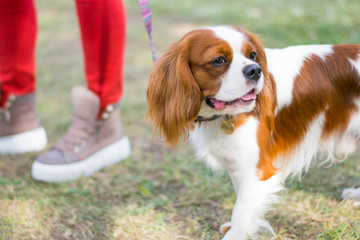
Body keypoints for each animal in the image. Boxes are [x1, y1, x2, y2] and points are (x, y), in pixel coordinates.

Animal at [146, 25, 360, 239]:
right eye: (219, 60)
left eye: (252, 55)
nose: (255, 70)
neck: (221, 116)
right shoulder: (238, 164)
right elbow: (243, 201)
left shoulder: (257, 171)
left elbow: (242, 210)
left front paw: (235, 233)